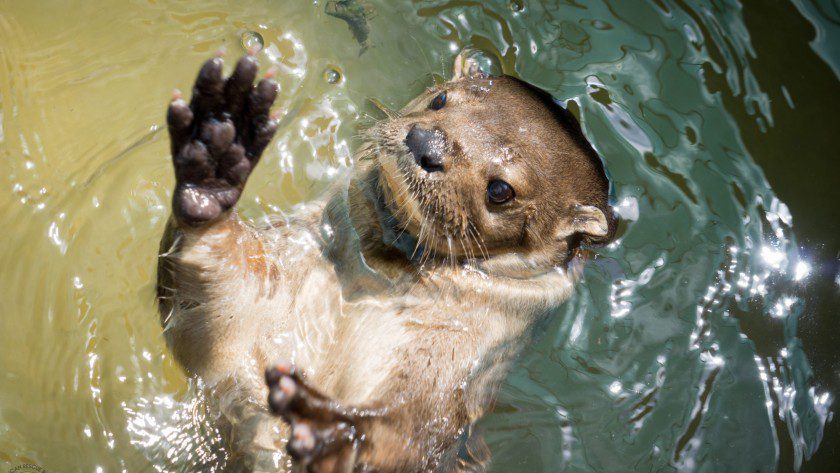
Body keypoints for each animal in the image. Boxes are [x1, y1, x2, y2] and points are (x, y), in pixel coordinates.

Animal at [157, 52, 615, 471]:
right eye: (441, 100)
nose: (426, 143)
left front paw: (333, 430)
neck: (365, 287)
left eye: (501, 190)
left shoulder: (445, 373)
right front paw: (215, 158)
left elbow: (405, 438)